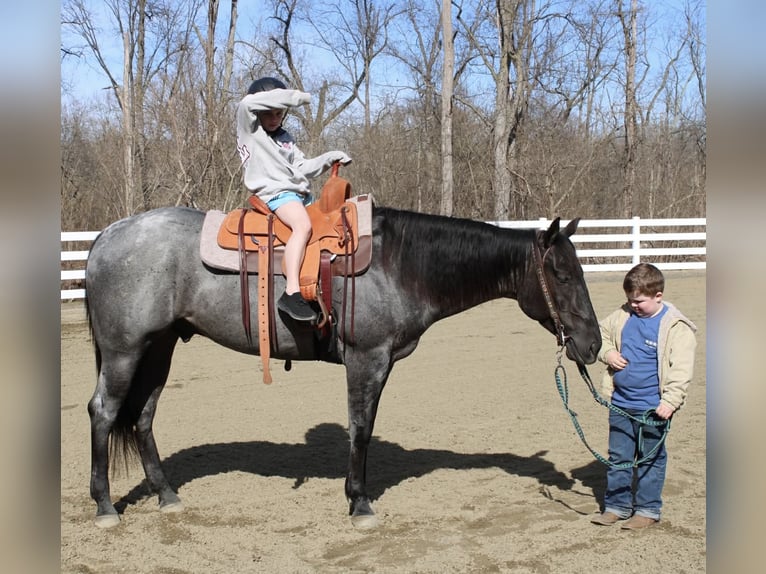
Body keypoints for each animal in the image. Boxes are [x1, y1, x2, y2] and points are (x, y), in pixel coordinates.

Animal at [84, 204, 601, 529]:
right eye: (561, 274)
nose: (593, 344)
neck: (400, 264)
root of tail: (107, 235)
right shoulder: (367, 359)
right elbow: (361, 429)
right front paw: (360, 502)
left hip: (159, 348)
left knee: (143, 416)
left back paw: (167, 496)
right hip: (125, 350)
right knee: (103, 413)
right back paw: (106, 506)